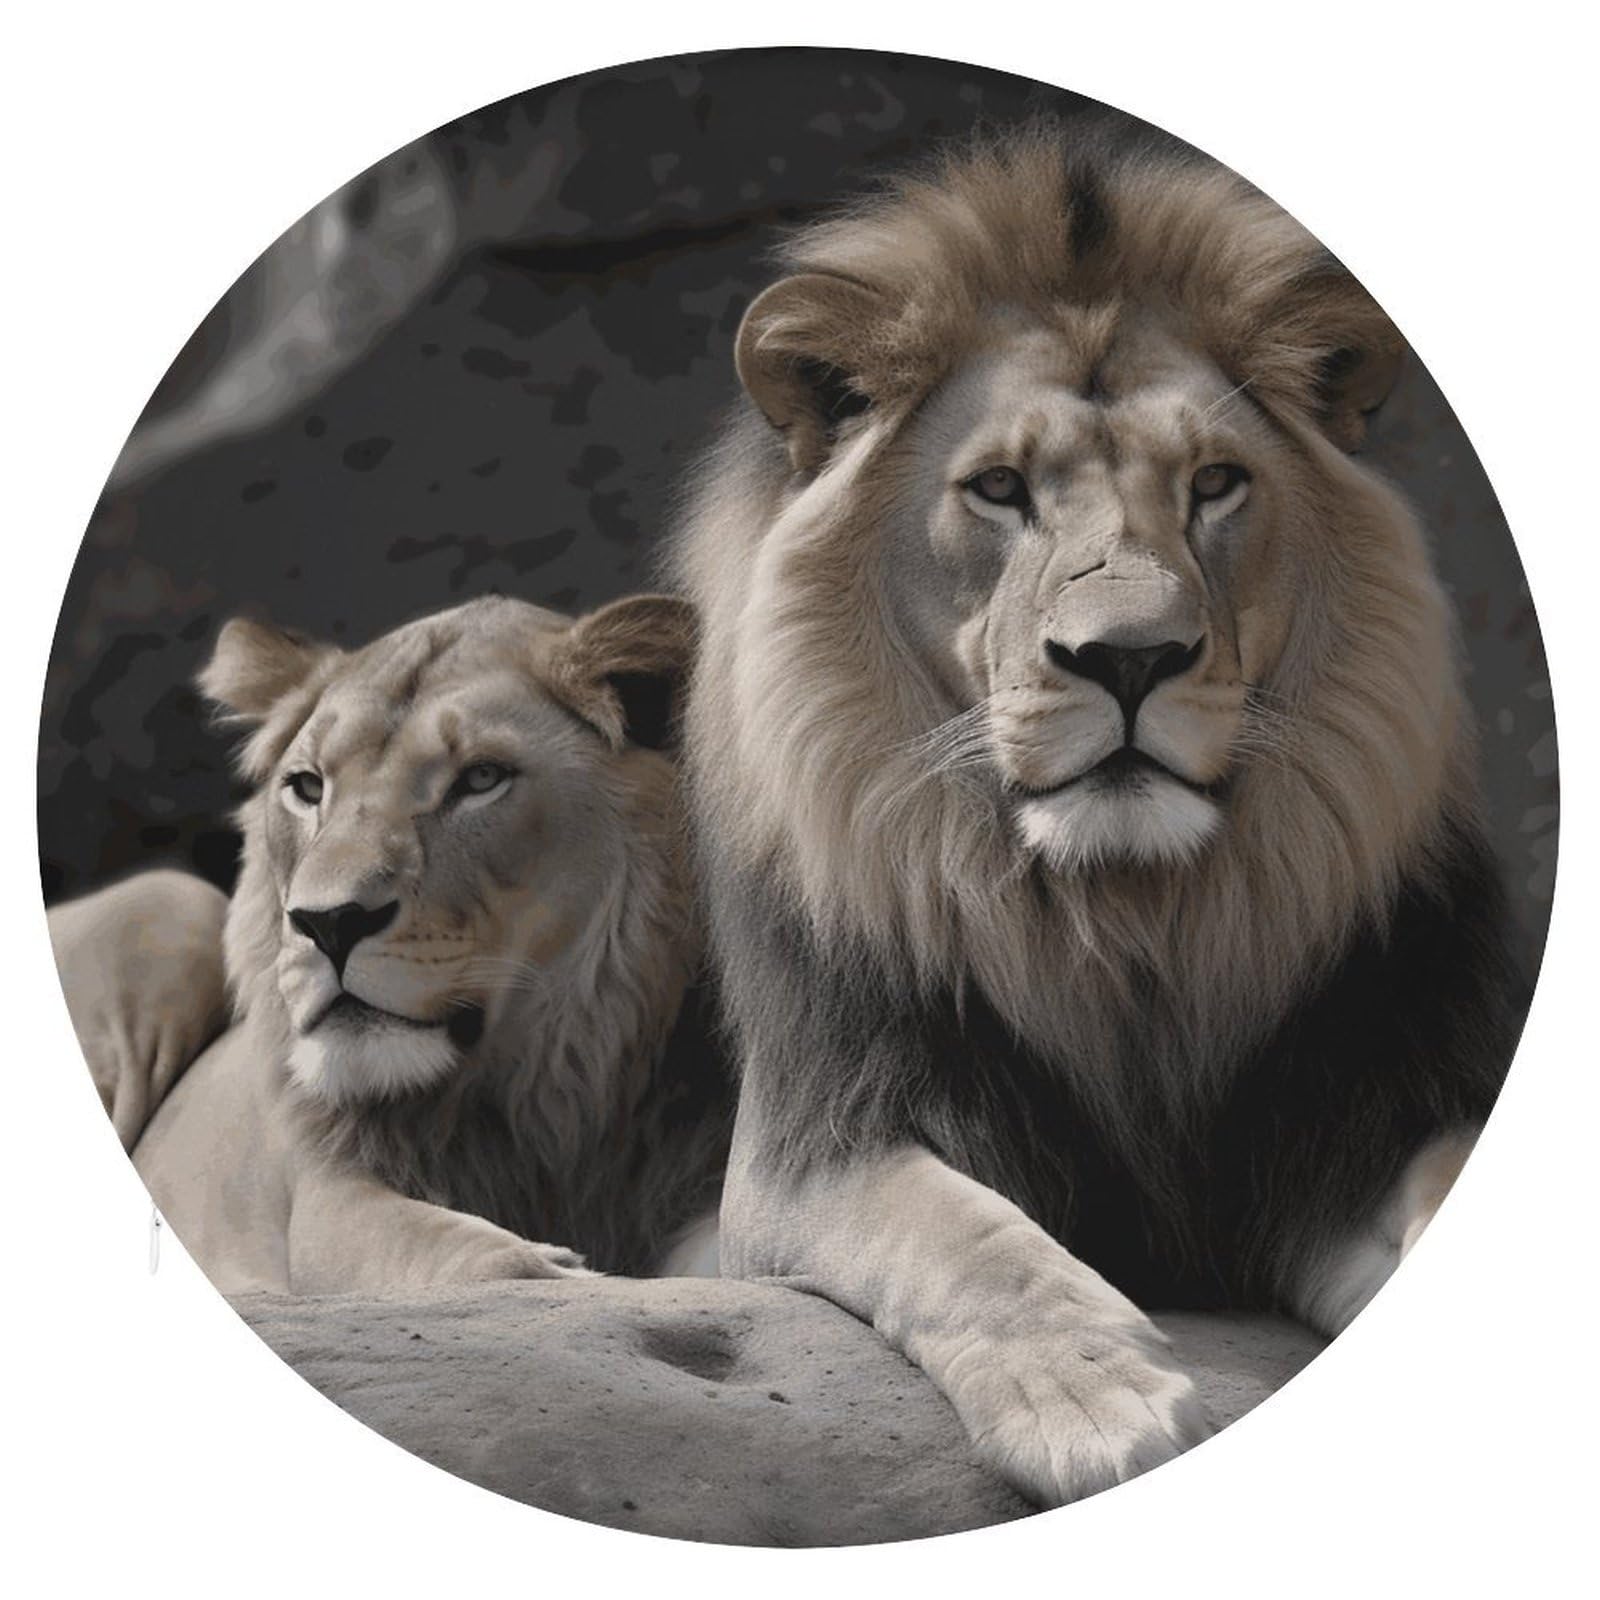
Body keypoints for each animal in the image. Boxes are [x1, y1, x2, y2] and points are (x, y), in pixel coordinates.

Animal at [51, 592, 728, 1292]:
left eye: (481, 778)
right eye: (308, 786)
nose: (328, 923)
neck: (539, 1102)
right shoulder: (327, 1203)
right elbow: (483, 1258)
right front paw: (566, 1272)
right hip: (169, 900)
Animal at [674, 120, 1523, 1508]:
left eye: (1216, 483)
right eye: (1000, 489)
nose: (1129, 656)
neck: (1124, 930)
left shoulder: (1364, 1105)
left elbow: (1445, 1185)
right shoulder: (796, 1163)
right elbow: (960, 1231)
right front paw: (1099, 1401)